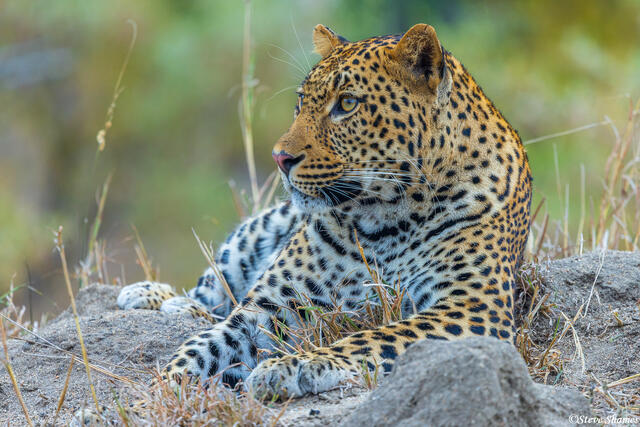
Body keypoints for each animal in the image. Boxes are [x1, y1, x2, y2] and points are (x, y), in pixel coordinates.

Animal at [117, 23, 532, 400]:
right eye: (301, 102)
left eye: (347, 104)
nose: (280, 158)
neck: (386, 218)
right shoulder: (268, 307)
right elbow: (204, 346)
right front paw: (157, 394)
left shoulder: (471, 307)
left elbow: (375, 336)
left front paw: (299, 364)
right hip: (255, 231)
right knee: (215, 290)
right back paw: (155, 295)